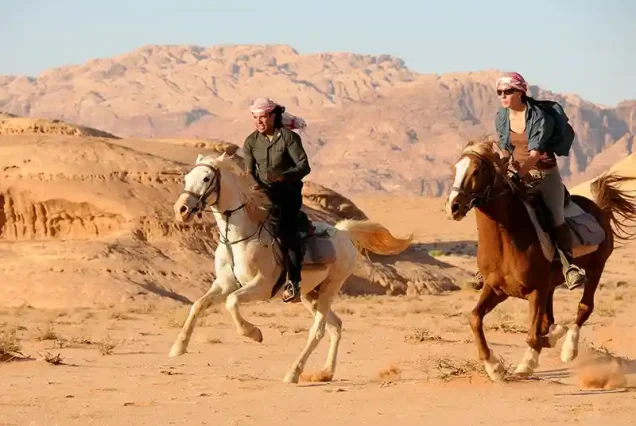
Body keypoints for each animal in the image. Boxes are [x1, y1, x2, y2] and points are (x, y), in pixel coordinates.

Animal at [169, 152, 412, 382]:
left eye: (206, 178)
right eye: (186, 178)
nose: (181, 209)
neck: (239, 237)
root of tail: (343, 233)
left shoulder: (261, 286)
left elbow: (232, 302)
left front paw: (254, 333)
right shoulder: (224, 284)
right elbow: (198, 305)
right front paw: (178, 347)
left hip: (330, 288)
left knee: (318, 331)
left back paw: (293, 373)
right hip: (309, 294)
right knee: (335, 325)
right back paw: (325, 373)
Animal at [444, 141, 636, 382]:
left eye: (477, 171)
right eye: (454, 169)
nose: (453, 207)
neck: (507, 239)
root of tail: (600, 208)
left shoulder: (535, 291)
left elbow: (533, 336)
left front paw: (530, 361)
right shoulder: (497, 289)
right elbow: (474, 318)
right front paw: (494, 367)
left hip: (595, 268)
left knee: (584, 308)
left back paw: (568, 349)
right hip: (552, 284)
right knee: (549, 319)